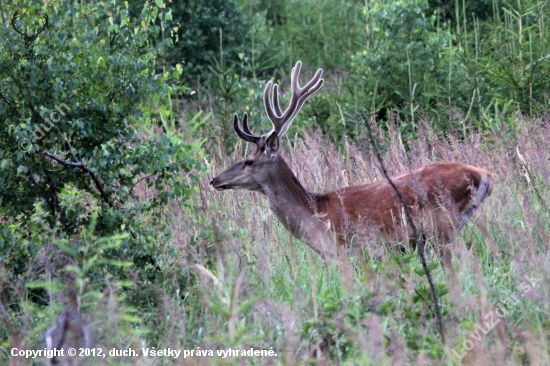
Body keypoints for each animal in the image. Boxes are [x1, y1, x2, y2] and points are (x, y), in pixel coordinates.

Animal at [210, 62, 496, 264]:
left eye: (248, 161)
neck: (315, 215)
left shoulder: (350, 250)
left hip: (443, 227)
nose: (214, 179)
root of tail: (484, 174)